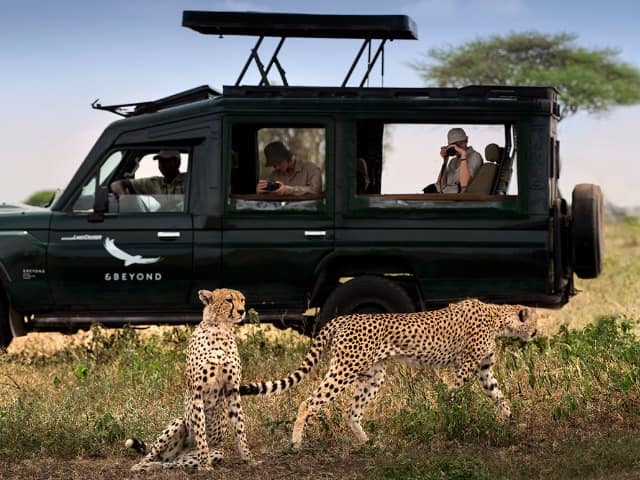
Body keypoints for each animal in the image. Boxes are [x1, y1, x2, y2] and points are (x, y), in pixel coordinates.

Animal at [126, 288, 254, 472]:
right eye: (229, 300)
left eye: (242, 300)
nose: (242, 311)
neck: (221, 330)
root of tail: (179, 454)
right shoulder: (197, 392)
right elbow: (200, 430)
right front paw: (205, 465)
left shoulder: (233, 390)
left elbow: (240, 428)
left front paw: (249, 459)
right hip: (178, 422)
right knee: (152, 454)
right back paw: (140, 466)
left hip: (214, 453)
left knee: (169, 464)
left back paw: (155, 467)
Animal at [240, 298, 536, 448]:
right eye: (533, 322)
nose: (535, 333)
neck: (498, 316)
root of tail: (342, 317)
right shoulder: (465, 366)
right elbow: (454, 396)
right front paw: (451, 420)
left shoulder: (485, 370)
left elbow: (500, 397)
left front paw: (512, 423)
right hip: (345, 368)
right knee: (309, 401)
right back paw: (296, 442)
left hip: (373, 376)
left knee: (351, 411)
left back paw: (368, 443)